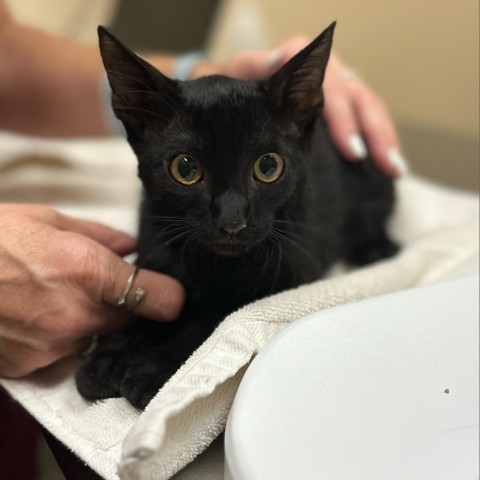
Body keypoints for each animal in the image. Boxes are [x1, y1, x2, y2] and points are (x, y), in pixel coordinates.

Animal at [76, 22, 398, 408]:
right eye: (185, 168)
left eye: (269, 166)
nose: (231, 221)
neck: (215, 267)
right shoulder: (156, 242)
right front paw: (110, 356)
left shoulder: (289, 271)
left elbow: (212, 319)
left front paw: (151, 370)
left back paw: (378, 249)